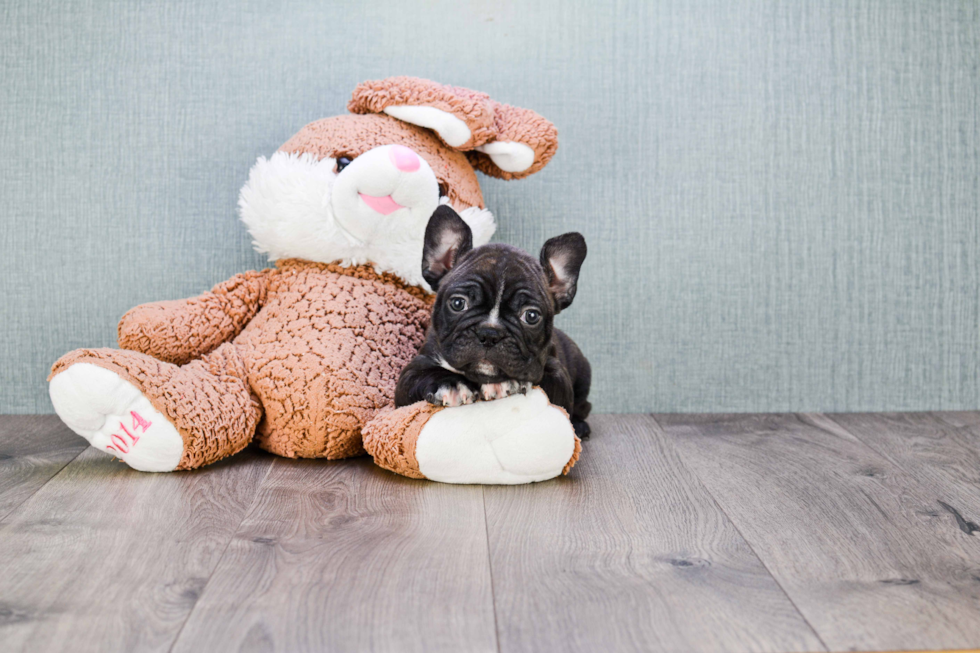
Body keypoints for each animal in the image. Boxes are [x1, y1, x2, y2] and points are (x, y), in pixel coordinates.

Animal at [394, 204, 592, 438]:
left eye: (531, 316)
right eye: (458, 303)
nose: (489, 333)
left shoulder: (560, 378)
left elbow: (548, 381)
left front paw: (507, 381)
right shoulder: (411, 374)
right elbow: (423, 375)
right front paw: (451, 384)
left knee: (583, 406)